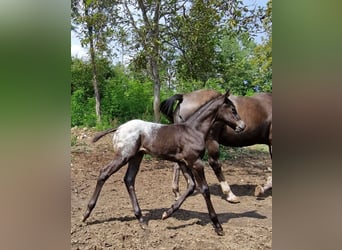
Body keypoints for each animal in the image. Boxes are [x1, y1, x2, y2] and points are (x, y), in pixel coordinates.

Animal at [83, 90, 246, 236]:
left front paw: (167, 213)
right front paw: (218, 226)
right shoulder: (195, 162)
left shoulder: (183, 162)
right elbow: (204, 190)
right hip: (124, 155)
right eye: (233, 109)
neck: (193, 130)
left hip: (136, 157)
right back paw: (86, 214)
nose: (242, 126)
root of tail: (119, 127)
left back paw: (141, 220)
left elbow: (191, 186)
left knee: (129, 179)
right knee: (104, 173)